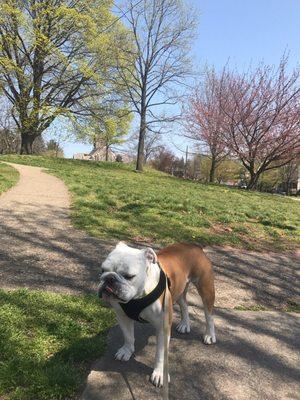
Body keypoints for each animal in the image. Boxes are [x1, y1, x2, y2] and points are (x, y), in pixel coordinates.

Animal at [98, 242, 216, 386]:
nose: (109, 278)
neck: (137, 297)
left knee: (209, 315)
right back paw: (184, 324)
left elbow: (160, 354)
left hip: (206, 289)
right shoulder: (122, 317)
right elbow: (128, 336)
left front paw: (159, 374)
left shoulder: (162, 327)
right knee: (184, 304)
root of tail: (194, 245)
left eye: (129, 276)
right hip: (179, 289)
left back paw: (209, 335)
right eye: (102, 270)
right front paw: (127, 350)